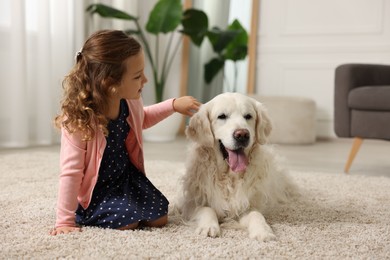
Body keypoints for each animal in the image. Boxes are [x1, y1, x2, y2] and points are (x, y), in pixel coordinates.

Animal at [175, 92, 294, 242]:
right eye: (222, 116)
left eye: (248, 116)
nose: (242, 134)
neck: (229, 176)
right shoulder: (190, 204)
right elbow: (207, 209)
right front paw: (209, 227)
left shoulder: (246, 205)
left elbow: (256, 215)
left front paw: (263, 231)